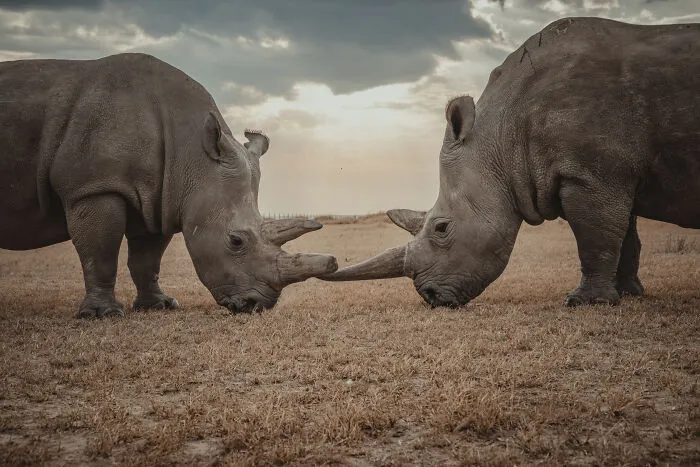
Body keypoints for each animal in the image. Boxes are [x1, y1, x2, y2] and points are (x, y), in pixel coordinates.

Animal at [0, 53, 337, 318]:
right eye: (236, 241)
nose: (257, 305)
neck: (192, 155)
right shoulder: (93, 186)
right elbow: (100, 251)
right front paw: (102, 314)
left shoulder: (158, 196)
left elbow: (147, 259)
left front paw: (159, 305)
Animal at [323, 17, 700, 307]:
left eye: (441, 228)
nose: (430, 297)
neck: (503, 135)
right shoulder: (609, 173)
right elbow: (624, 237)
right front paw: (629, 294)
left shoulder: (590, 174)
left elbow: (595, 238)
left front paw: (584, 302)